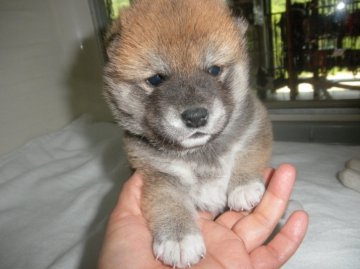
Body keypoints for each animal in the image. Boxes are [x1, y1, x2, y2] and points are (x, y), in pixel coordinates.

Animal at [104, 0, 272, 266]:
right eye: (156, 79)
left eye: (214, 70)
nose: (196, 117)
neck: (200, 152)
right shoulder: (158, 174)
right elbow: (169, 203)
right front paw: (179, 240)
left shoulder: (255, 124)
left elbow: (248, 154)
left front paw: (243, 188)